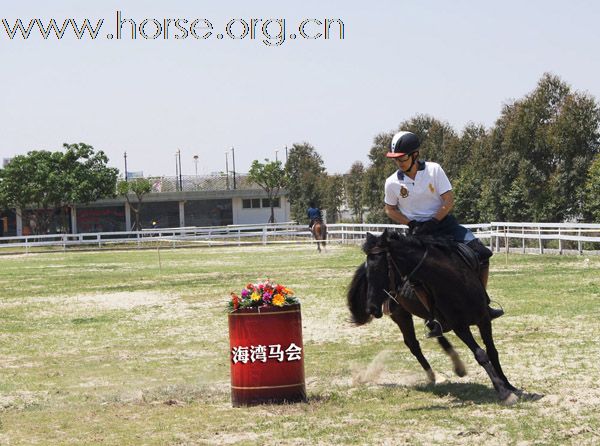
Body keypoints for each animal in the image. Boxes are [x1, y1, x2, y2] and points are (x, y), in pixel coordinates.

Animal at [350, 230, 516, 404]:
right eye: (368, 273)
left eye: (381, 270)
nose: (371, 308)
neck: (454, 282)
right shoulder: (460, 327)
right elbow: (481, 355)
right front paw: (503, 392)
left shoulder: (483, 319)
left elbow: (492, 351)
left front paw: (508, 385)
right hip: (401, 314)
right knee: (413, 344)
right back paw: (433, 376)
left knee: (437, 333)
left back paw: (457, 365)